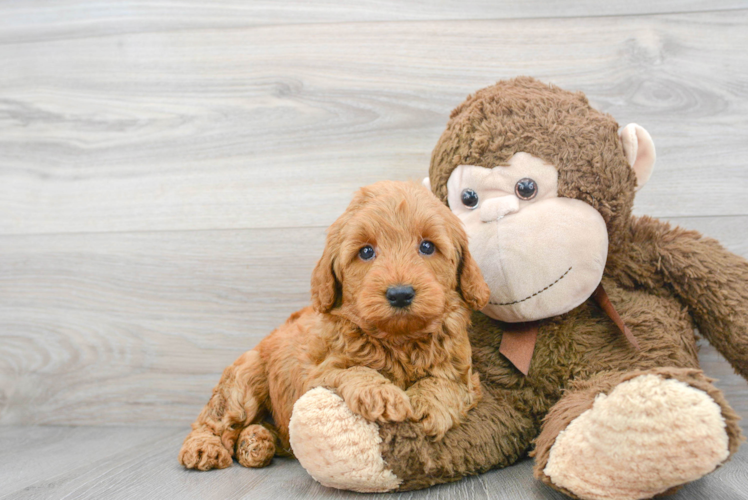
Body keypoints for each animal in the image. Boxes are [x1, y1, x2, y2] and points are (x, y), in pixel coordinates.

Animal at [177, 182, 490, 470]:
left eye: (427, 246)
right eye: (366, 252)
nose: (400, 294)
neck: (398, 339)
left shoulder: (462, 371)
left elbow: (446, 382)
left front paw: (427, 405)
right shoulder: (317, 375)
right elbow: (353, 370)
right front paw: (381, 393)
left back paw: (256, 442)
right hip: (244, 380)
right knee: (215, 419)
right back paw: (204, 448)